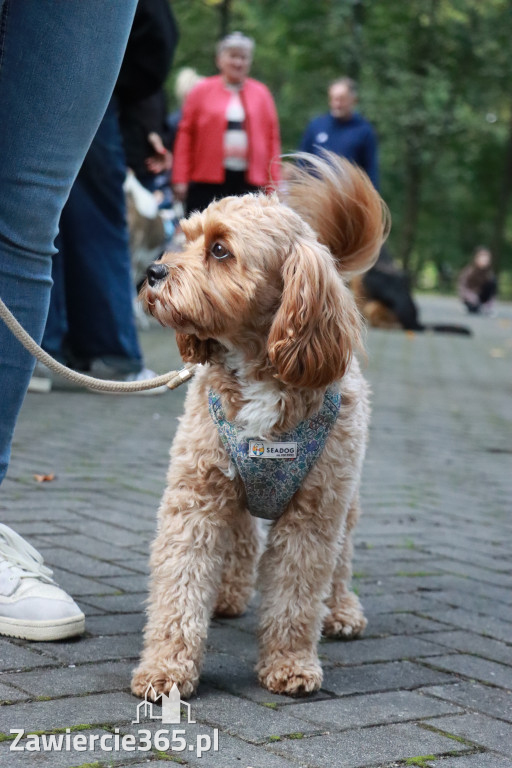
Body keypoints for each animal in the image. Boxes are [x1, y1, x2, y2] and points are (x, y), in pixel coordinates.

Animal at [131, 153, 388, 700]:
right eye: (187, 235)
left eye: (220, 249)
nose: (152, 270)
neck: (257, 366)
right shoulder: (197, 495)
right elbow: (179, 588)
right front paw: (166, 668)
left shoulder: (313, 513)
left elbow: (296, 594)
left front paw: (290, 663)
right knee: (244, 533)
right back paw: (228, 593)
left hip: (345, 495)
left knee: (340, 558)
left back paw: (341, 609)